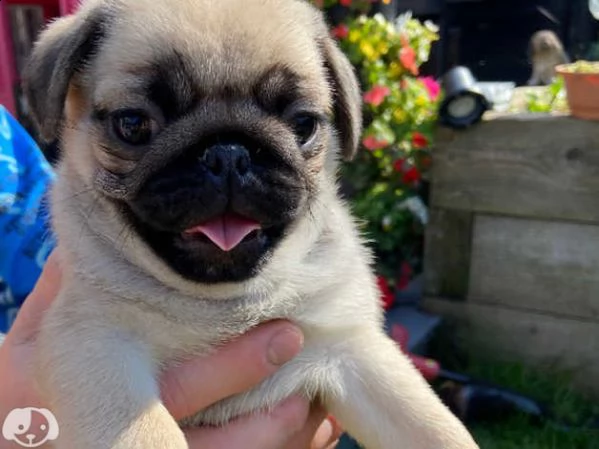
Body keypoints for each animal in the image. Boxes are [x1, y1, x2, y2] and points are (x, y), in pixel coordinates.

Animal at [23, 0, 480, 448]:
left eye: (303, 125)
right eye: (133, 124)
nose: (227, 152)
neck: (219, 303)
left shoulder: (350, 346)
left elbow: (435, 428)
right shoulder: (98, 351)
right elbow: (146, 434)